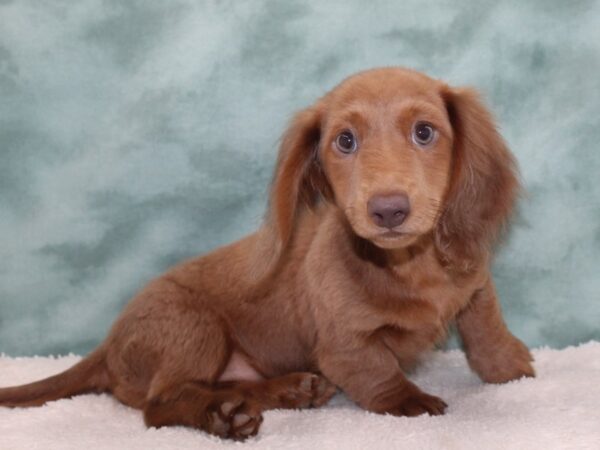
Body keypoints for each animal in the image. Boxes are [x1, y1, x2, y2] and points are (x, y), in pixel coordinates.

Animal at [0, 67, 536, 440]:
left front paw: (509, 366)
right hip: (196, 326)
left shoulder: (475, 285)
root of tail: (108, 344)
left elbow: (485, 329)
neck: (411, 266)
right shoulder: (344, 343)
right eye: (345, 141)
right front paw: (410, 401)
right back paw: (225, 419)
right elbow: (377, 372)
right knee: (160, 404)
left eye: (424, 132)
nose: (388, 210)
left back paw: (281, 392)